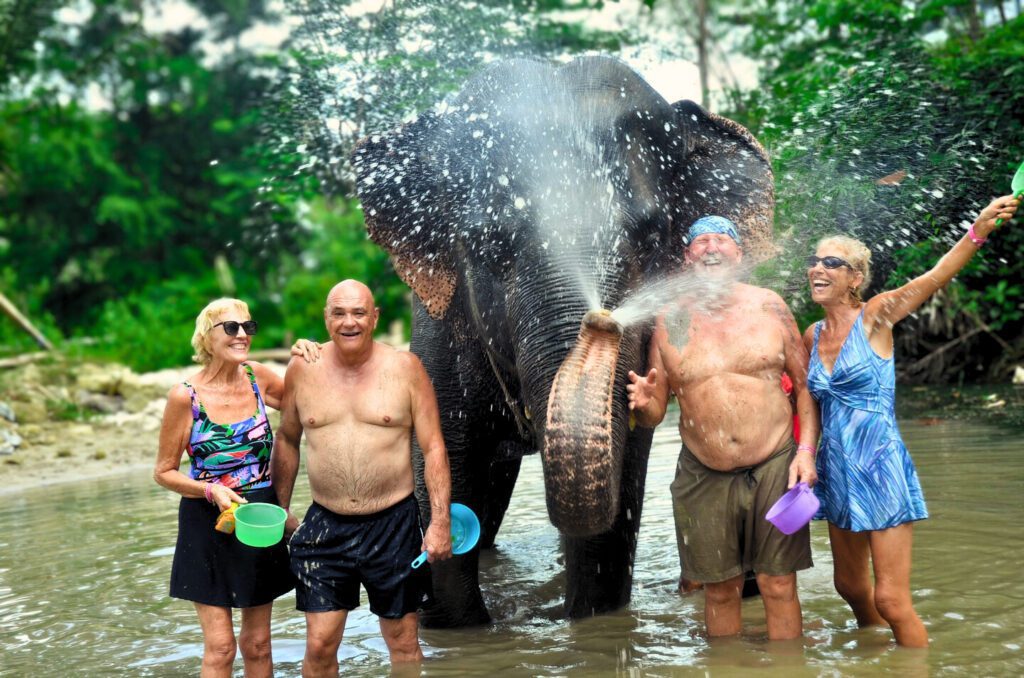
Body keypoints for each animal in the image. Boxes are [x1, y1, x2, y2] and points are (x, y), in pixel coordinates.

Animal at [351, 56, 774, 626]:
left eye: (649, 233)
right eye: (489, 242)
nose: (602, 321)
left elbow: (622, 483)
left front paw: (587, 621)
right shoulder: (440, 334)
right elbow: (448, 463)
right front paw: (465, 627)